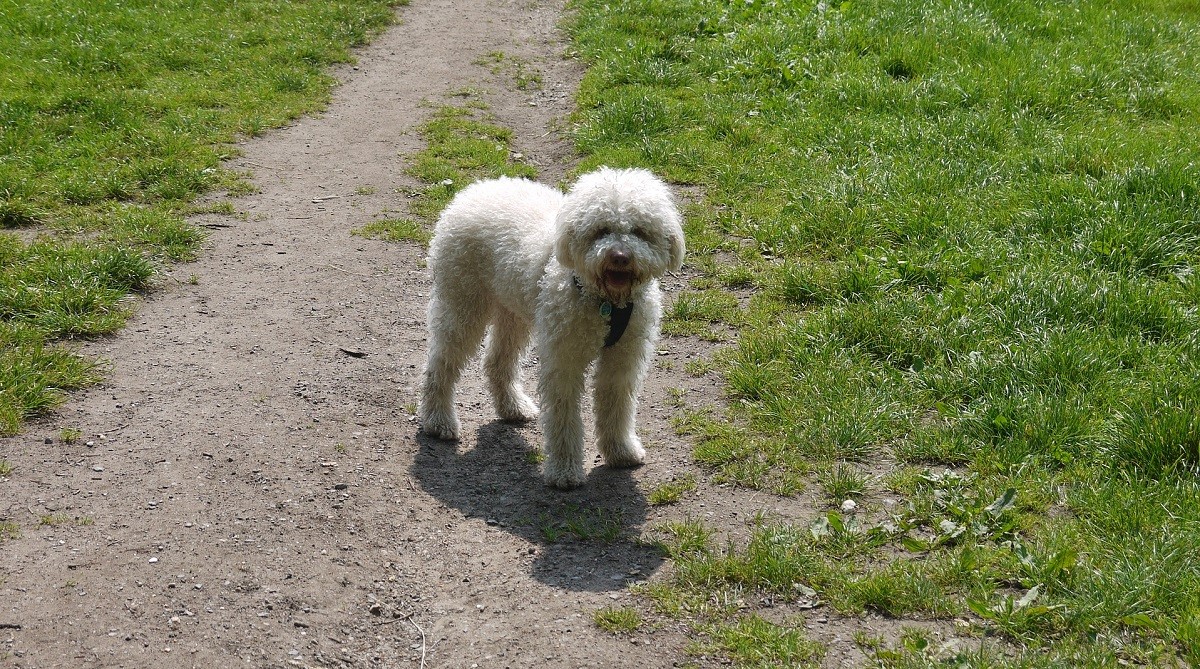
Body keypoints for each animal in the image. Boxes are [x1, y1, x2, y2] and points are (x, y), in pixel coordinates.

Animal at [418, 167, 685, 488]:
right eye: (601, 230)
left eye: (639, 232)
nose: (619, 257)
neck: (606, 303)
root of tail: (472, 191)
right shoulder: (563, 359)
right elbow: (563, 417)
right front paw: (564, 472)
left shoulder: (624, 360)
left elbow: (617, 406)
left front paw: (621, 452)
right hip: (462, 305)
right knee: (440, 363)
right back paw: (438, 421)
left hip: (513, 312)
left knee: (496, 361)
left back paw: (513, 407)